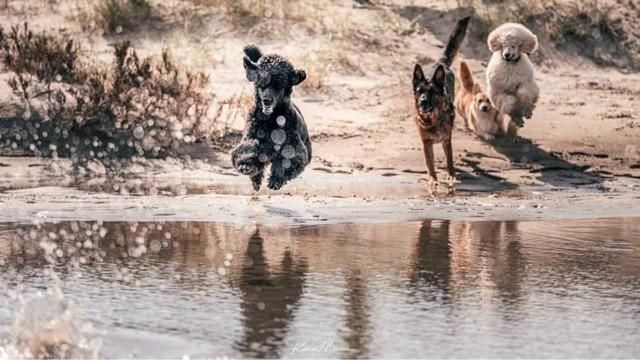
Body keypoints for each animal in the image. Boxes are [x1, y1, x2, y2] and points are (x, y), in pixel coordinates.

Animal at [412, 17, 472, 188]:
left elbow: (450, 160)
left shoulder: (447, 140)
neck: (433, 120)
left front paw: (451, 176)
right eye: (419, 91)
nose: (422, 102)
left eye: (432, 92)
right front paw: (433, 180)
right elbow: (430, 164)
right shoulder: (426, 144)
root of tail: (441, 63)